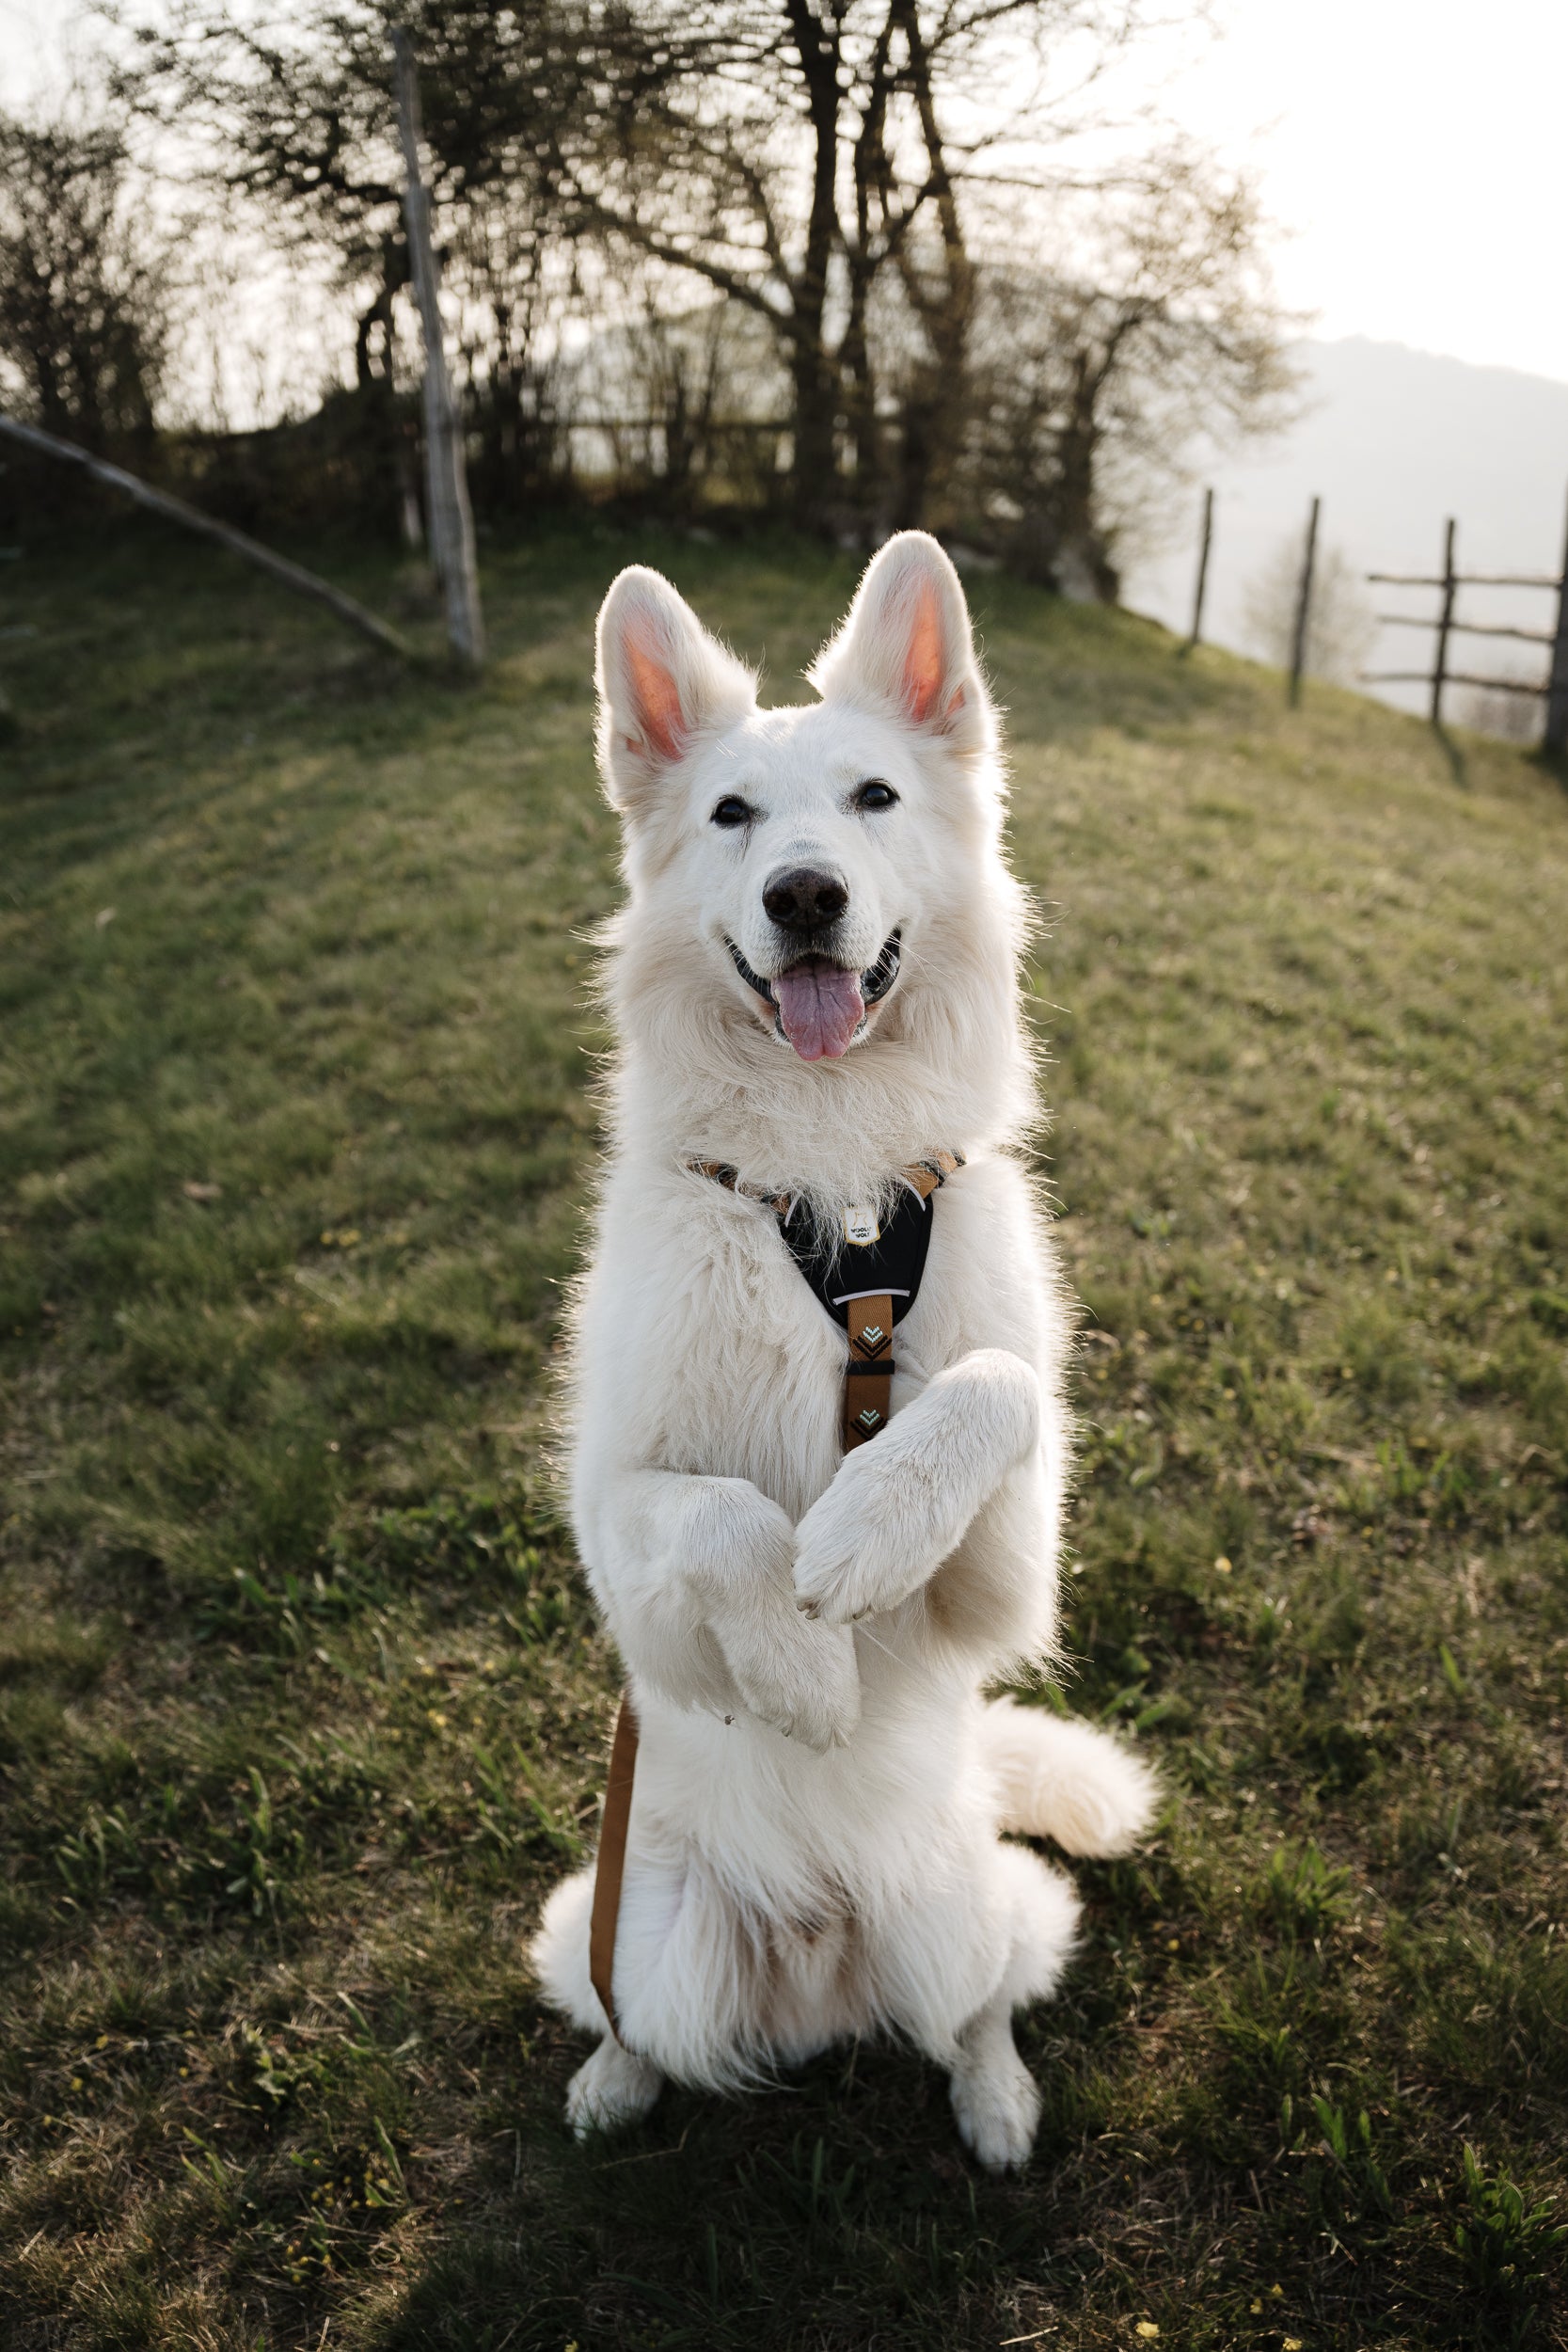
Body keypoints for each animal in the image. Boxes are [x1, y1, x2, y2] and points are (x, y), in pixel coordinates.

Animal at [531, 532, 1157, 2169]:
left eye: (873, 797)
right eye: (730, 815)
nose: (803, 892)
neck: (831, 1194)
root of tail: (815, 1968)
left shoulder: (1002, 1583)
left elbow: (997, 1385)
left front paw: (868, 1534)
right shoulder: (632, 1570)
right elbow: (717, 1514)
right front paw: (805, 1674)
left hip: (987, 1909)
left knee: (973, 2012)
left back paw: (995, 2105)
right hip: (604, 1922)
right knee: (632, 2014)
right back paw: (613, 2079)